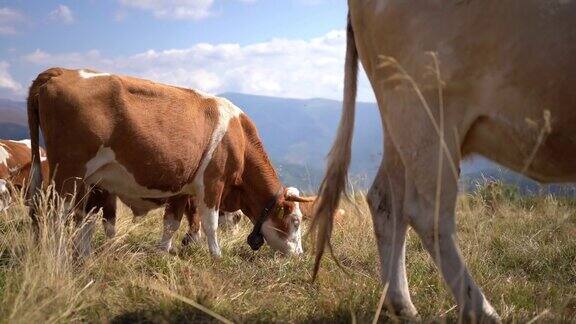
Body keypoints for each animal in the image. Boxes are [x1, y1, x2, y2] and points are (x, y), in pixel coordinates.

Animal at [26, 67, 312, 258]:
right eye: (296, 221)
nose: (300, 255)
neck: (240, 140)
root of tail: (62, 71)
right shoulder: (213, 183)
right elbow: (210, 223)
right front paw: (216, 256)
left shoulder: (182, 188)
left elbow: (171, 223)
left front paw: (164, 251)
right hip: (69, 172)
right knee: (58, 214)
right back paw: (59, 255)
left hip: (88, 179)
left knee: (83, 217)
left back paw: (84, 255)